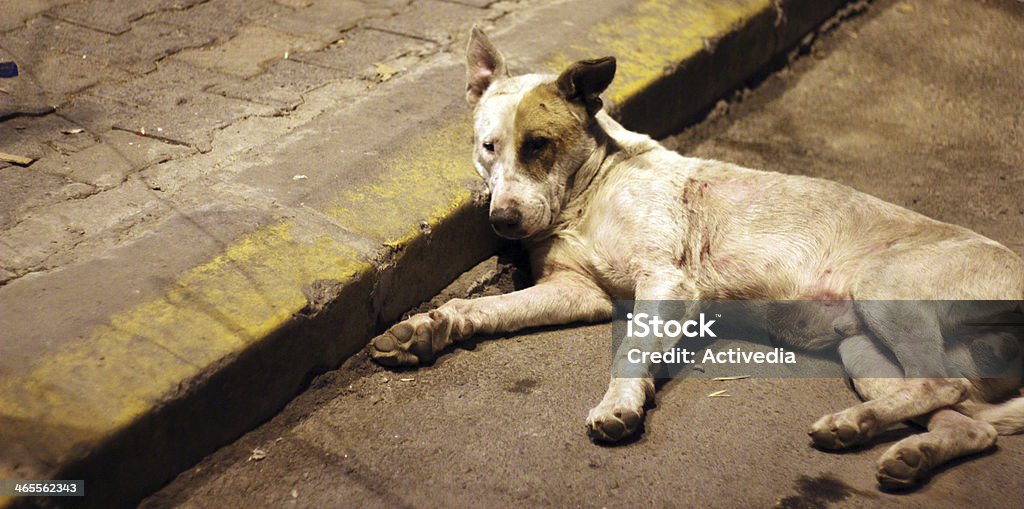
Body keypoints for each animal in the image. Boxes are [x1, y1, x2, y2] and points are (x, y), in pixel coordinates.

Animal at [370, 27, 1024, 487]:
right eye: (488, 147)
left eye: (539, 145)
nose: (502, 221)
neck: (590, 192)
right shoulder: (575, 291)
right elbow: (483, 309)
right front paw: (426, 328)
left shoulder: (666, 280)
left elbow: (631, 353)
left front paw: (621, 405)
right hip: (865, 351)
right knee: (963, 419)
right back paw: (885, 442)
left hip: (886, 291)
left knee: (943, 386)